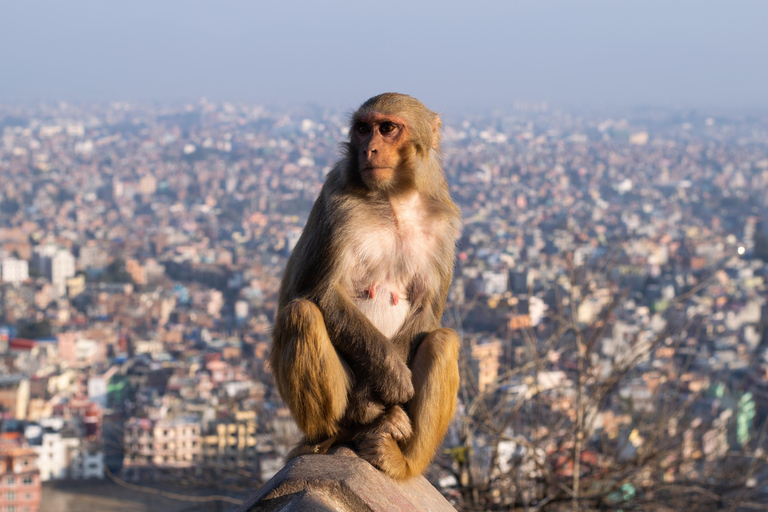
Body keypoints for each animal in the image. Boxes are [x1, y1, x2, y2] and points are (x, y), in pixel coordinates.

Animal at [270, 92, 462, 480]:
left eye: (387, 128)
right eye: (362, 128)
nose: (368, 149)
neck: (396, 200)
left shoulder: (444, 226)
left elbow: (427, 310)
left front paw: (392, 402)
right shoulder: (339, 205)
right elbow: (322, 293)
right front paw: (389, 382)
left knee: (443, 341)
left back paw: (398, 456)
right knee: (302, 314)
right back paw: (340, 430)